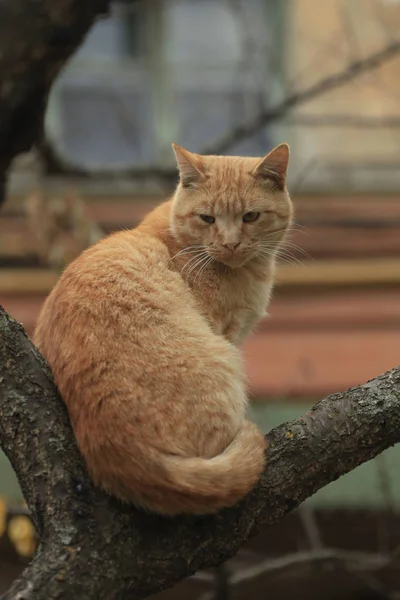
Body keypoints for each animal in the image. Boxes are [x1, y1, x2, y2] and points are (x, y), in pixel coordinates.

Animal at [32, 142, 292, 516]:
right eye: (207, 218)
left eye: (251, 217)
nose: (230, 244)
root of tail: (132, 459)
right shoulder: (224, 330)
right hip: (224, 360)